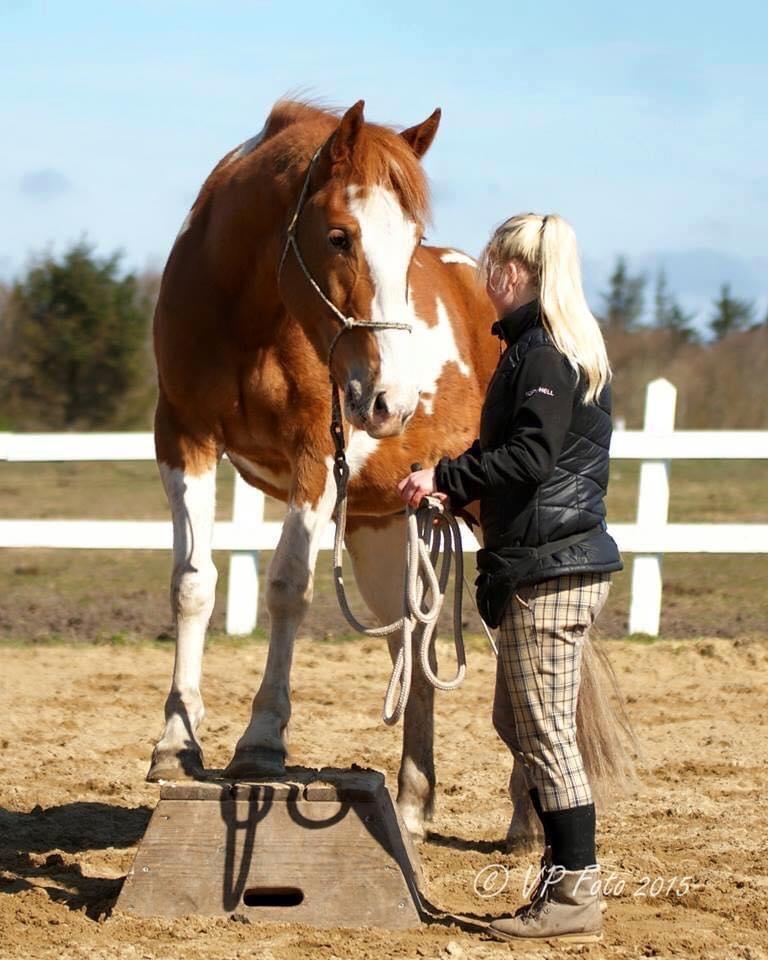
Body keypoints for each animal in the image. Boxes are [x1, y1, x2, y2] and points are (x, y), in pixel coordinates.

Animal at [147, 97, 632, 844]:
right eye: (339, 236)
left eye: (410, 244)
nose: (390, 402)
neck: (247, 315)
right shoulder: (182, 437)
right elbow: (193, 584)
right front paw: (176, 742)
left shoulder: (318, 457)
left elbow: (287, 587)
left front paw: (261, 742)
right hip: (382, 526)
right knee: (417, 646)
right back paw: (410, 803)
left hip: (490, 515)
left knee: (525, 656)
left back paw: (526, 817)